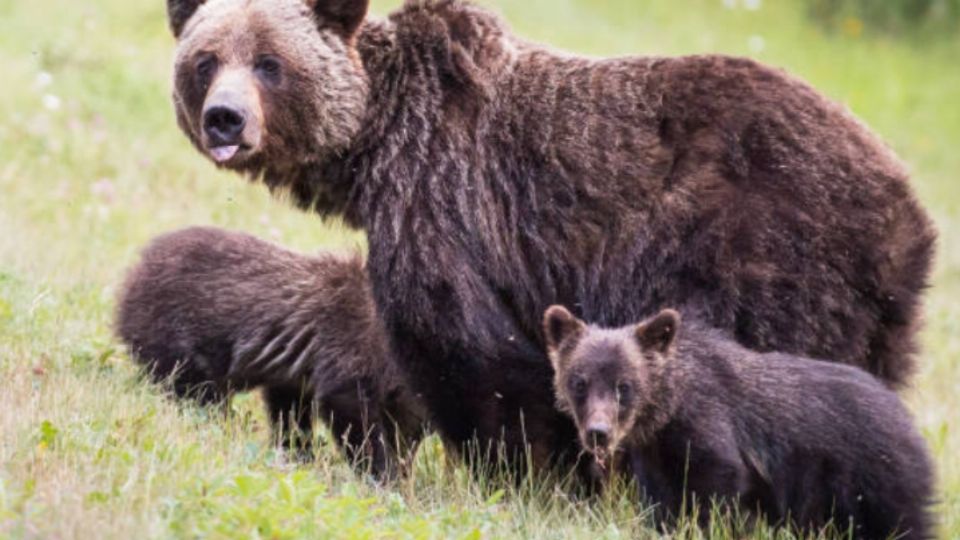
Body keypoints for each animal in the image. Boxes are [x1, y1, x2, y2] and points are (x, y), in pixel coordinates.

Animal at [114, 227, 426, 476]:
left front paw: (297, 455)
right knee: (197, 395)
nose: (406, 464)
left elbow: (290, 417)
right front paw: (381, 473)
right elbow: (353, 417)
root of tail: (130, 281)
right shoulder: (348, 350)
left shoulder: (293, 376)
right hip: (175, 340)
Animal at [165, 0, 936, 470]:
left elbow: (473, 355)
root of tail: (911, 215)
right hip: (868, 317)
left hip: (764, 255)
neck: (373, 147)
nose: (226, 119)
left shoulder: (447, 202)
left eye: (270, 62)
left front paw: (526, 471)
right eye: (206, 60)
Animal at [548, 306, 936, 536]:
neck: (665, 414)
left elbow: (715, 491)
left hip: (874, 478)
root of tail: (906, 417)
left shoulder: (711, 432)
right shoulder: (655, 457)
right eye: (579, 382)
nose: (598, 433)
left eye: (624, 386)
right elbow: (662, 503)